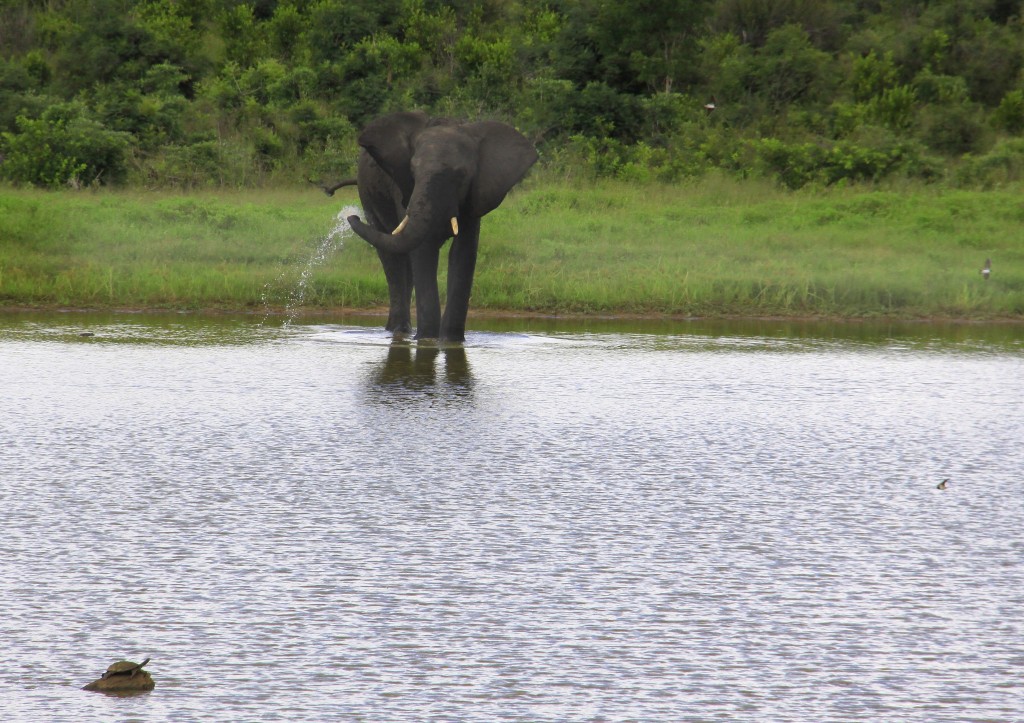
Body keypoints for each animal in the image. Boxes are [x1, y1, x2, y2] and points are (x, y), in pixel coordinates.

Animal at [346, 110, 536, 339]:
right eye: (412, 170)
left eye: (462, 175)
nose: (352, 217)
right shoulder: (403, 187)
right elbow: (423, 250)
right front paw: (427, 339)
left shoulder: (475, 193)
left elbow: (463, 252)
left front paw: (450, 340)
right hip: (368, 195)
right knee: (391, 256)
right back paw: (399, 331)